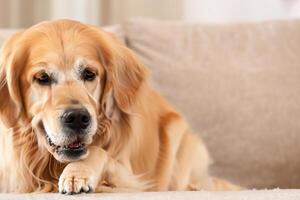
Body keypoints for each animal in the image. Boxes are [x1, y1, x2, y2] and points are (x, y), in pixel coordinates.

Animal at [0, 19, 239, 194]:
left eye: (90, 74)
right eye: (42, 78)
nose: (77, 118)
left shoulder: (133, 178)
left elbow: (97, 152)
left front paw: (76, 173)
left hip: (177, 135)